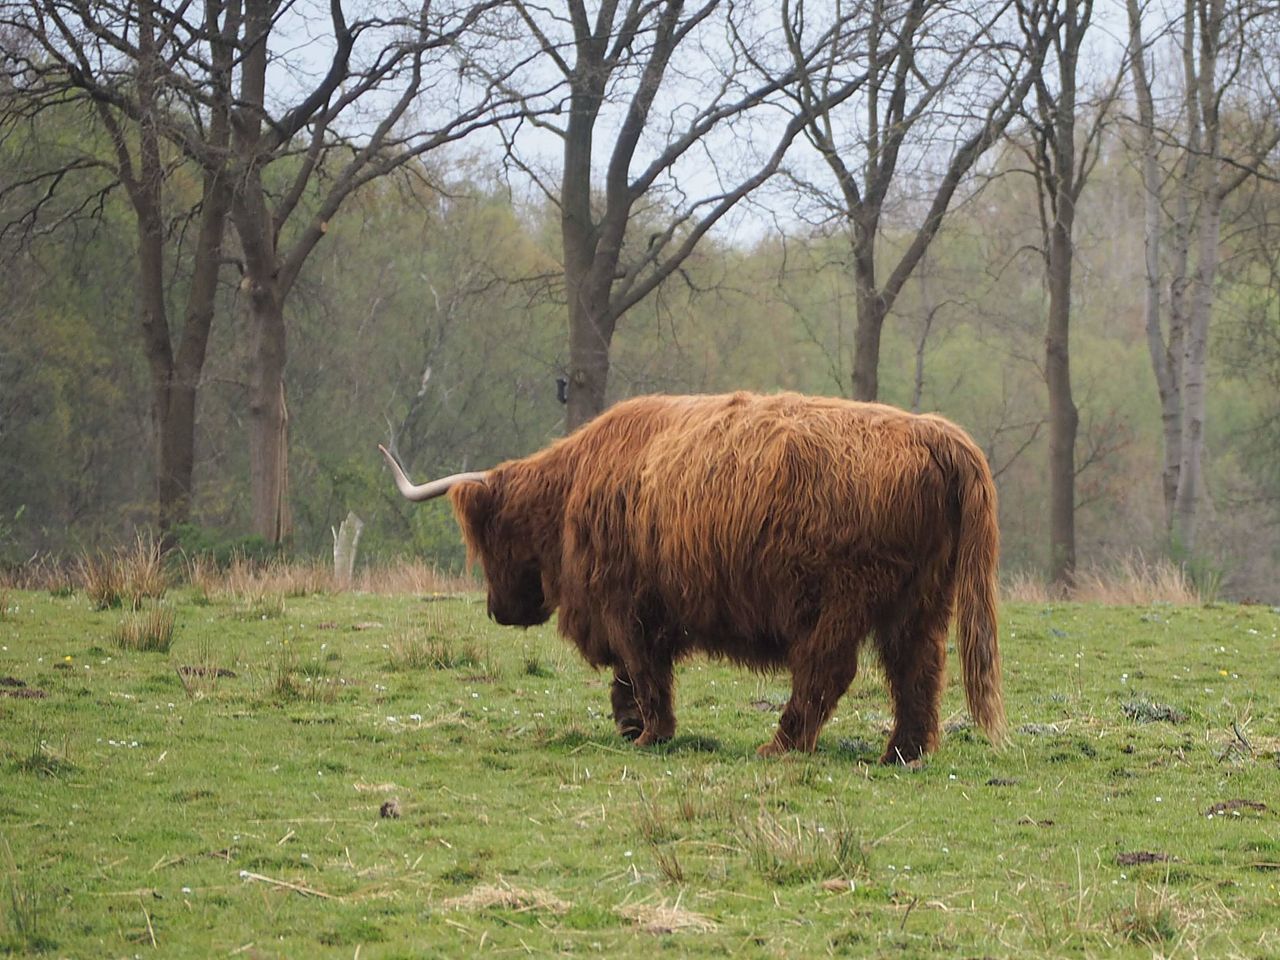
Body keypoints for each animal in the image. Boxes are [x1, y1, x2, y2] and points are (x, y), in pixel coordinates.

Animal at [381, 391, 1008, 768]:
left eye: (488, 542)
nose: (498, 610)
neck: (571, 490)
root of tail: (933, 433)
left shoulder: (625, 603)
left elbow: (643, 669)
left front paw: (650, 732)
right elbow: (629, 675)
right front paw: (630, 723)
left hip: (842, 598)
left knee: (828, 670)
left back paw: (779, 745)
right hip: (921, 599)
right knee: (917, 670)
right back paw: (901, 753)